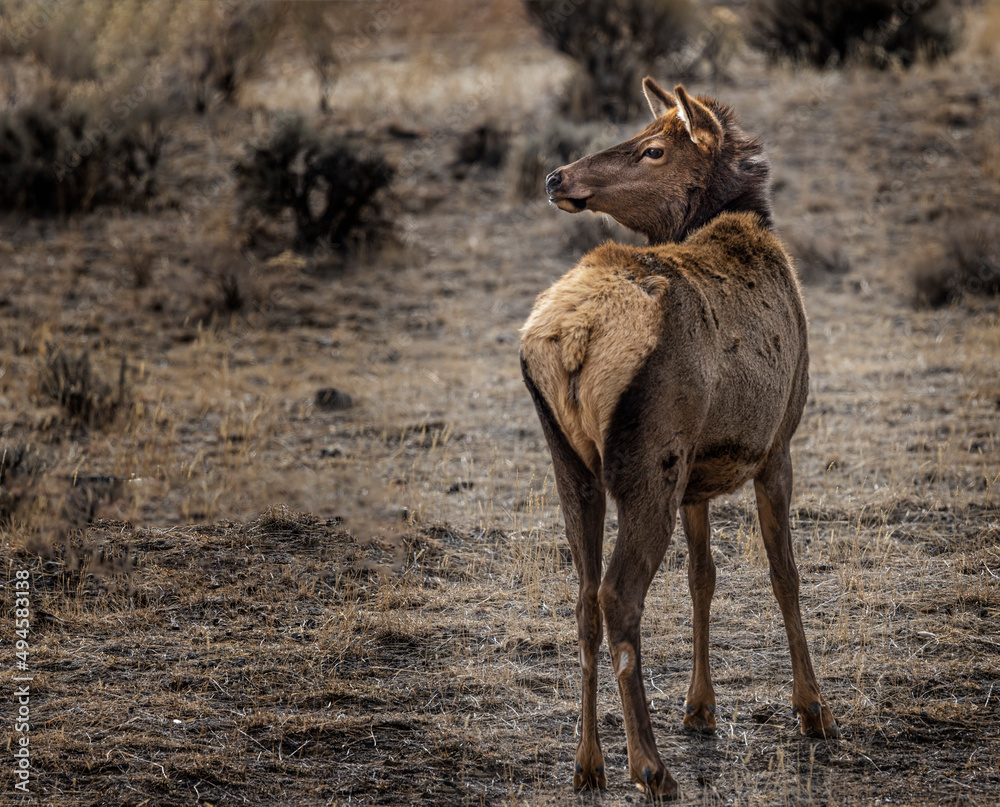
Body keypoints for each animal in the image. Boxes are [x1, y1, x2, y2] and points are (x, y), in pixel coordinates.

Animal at [519, 77, 839, 800]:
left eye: (653, 147)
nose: (556, 175)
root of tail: (572, 339)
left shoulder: (698, 472)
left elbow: (703, 575)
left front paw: (701, 706)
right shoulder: (778, 443)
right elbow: (784, 572)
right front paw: (814, 709)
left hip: (572, 465)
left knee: (584, 598)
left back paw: (588, 763)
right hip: (648, 461)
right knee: (618, 595)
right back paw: (650, 766)